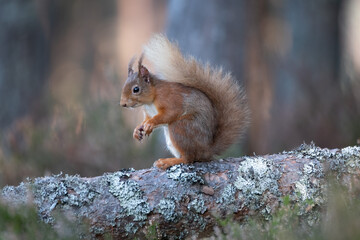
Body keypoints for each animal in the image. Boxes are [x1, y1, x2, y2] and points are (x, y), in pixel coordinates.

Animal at [119, 34, 249, 170]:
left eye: (136, 89)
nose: (123, 104)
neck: (150, 100)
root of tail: (207, 150)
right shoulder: (149, 112)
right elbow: (146, 120)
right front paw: (137, 129)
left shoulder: (170, 99)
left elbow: (169, 114)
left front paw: (150, 124)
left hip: (180, 128)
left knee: (189, 158)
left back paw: (167, 162)